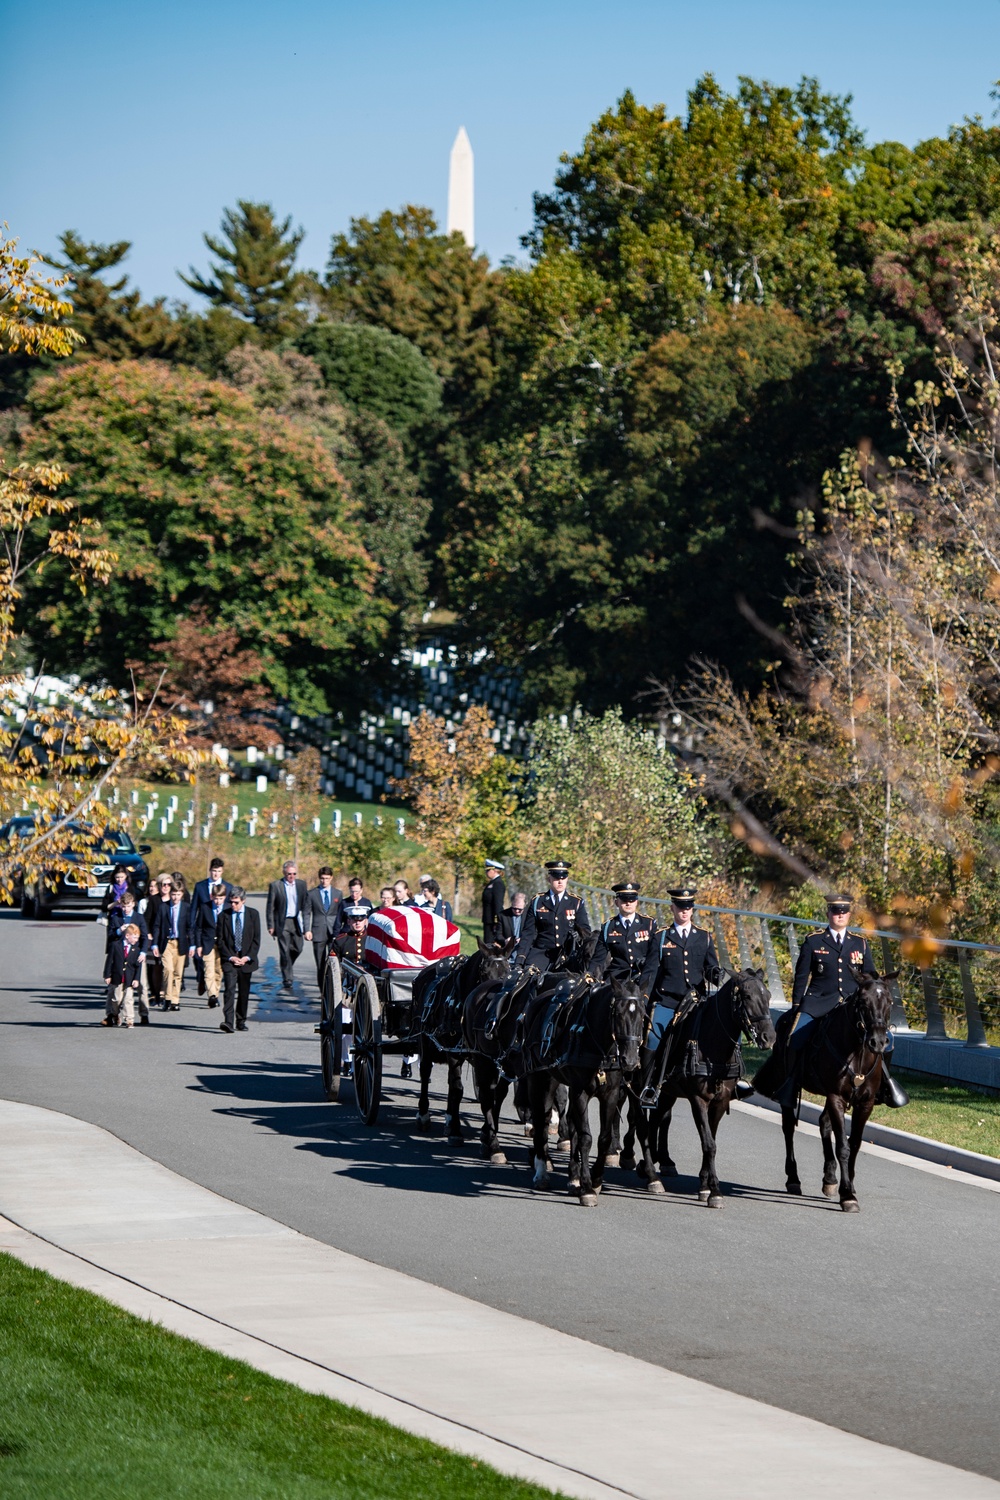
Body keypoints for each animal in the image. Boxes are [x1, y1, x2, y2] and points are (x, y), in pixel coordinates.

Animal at [527, 972, 644, 1206]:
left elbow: (602, 1138)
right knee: (542, 1120)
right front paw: (588, 1187)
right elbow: (586, 1137)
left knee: (570, 1123)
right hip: (542, 1080)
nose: (630, 1060)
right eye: (618, 1014)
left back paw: (573, 1177)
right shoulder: (580, 1092)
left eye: (643, 1015)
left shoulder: (610, 1094)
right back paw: (542, 1171)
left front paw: (595, 1179)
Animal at [629, 972, 779, 1206]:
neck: (713, 1047)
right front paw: (715, 1191)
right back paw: (653, 1177)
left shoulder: (720, 1101)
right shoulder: (698, 1099)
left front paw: (704, 1185)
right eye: (746, 996)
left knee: (656, 1121)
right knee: (642, 1126)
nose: (769, 1038)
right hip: (636, 1089)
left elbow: (711, 1139)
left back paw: (650, 1166)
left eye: (769, 996)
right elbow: (709, 1144)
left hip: (667, 1093)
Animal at [773, 972, 905, 1206]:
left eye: (889, 1002)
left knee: (824, 1124)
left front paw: (848, 1185)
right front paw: (847, 1195)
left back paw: (830, 1178)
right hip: (792, 1088)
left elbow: (855, 1144)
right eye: (863, 1002)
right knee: (788, 1127)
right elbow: (843, 1145)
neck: (858, 1052)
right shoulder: (837, 1097)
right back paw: (793, 1179)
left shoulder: (865, 1103)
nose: (878, 1042)